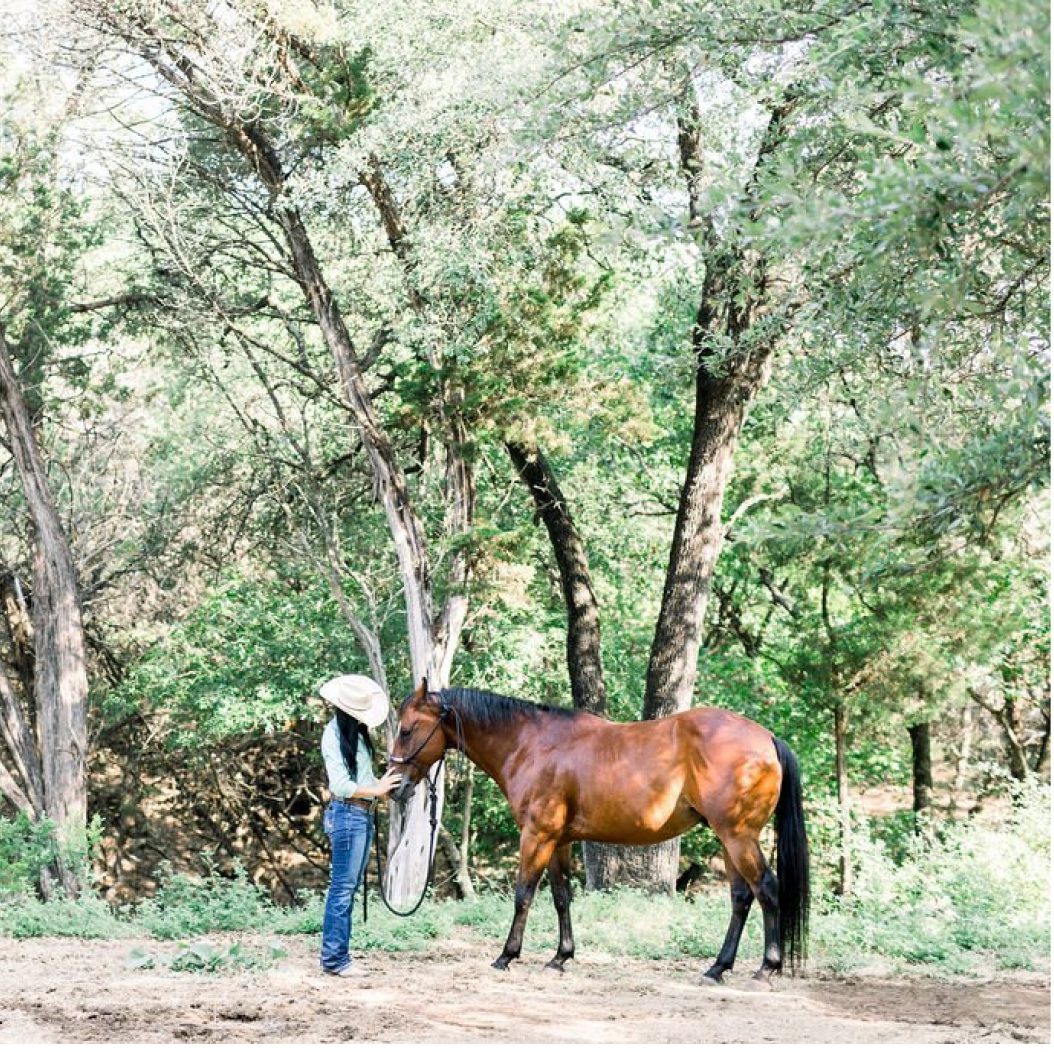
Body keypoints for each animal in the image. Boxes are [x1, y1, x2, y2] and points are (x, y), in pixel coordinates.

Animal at [387, 678, 805, 982]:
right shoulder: (558, 841)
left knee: (766, 889)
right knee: (741, 897)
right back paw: (718, 968)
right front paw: (560, 957)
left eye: (406, 730)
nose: (394, 787)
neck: (531, 744)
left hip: (738, 837)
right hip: (728, 839)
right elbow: (561, 897)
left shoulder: (536, 837)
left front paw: (507, 955)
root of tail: (767, 739)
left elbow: (523, 895)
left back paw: (766, 967)